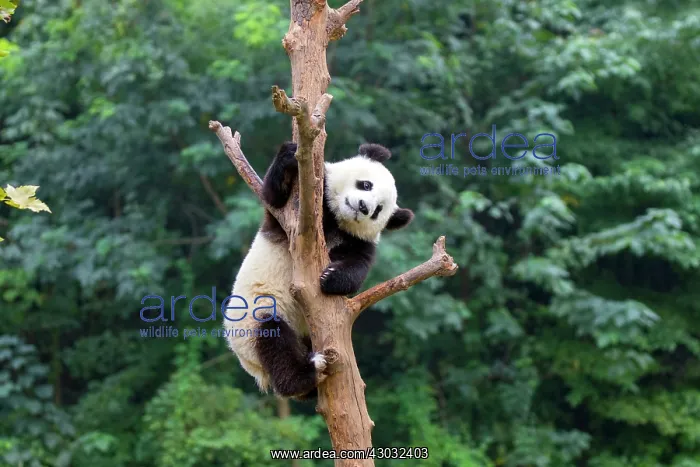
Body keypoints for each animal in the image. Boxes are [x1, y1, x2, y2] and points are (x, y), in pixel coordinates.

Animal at [224, 141, 414, 400]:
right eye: (366, 184)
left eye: (378, 211)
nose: (363, 207)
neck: (335, 218)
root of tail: (253, 368)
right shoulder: (288, 216)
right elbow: (274, 198)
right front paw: (290, 154)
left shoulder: (358, 241)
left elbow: (357, 268)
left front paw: (330, 278)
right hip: (252, 318)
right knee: (271, 335)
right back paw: (305, 374)